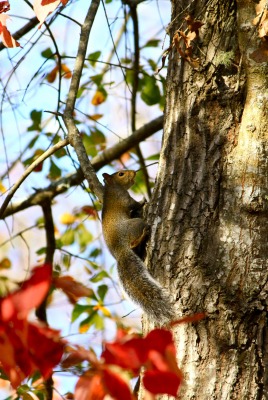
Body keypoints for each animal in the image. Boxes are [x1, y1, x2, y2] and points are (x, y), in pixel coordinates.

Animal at [101, 169, 175, 324]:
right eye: (121, 174)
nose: (134, 172)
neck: (112, 188)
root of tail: (120, 250)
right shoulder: (125, 199)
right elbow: (135, 204)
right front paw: (144, 201)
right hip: (136, 224)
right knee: (133, 242)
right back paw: (144, 234)